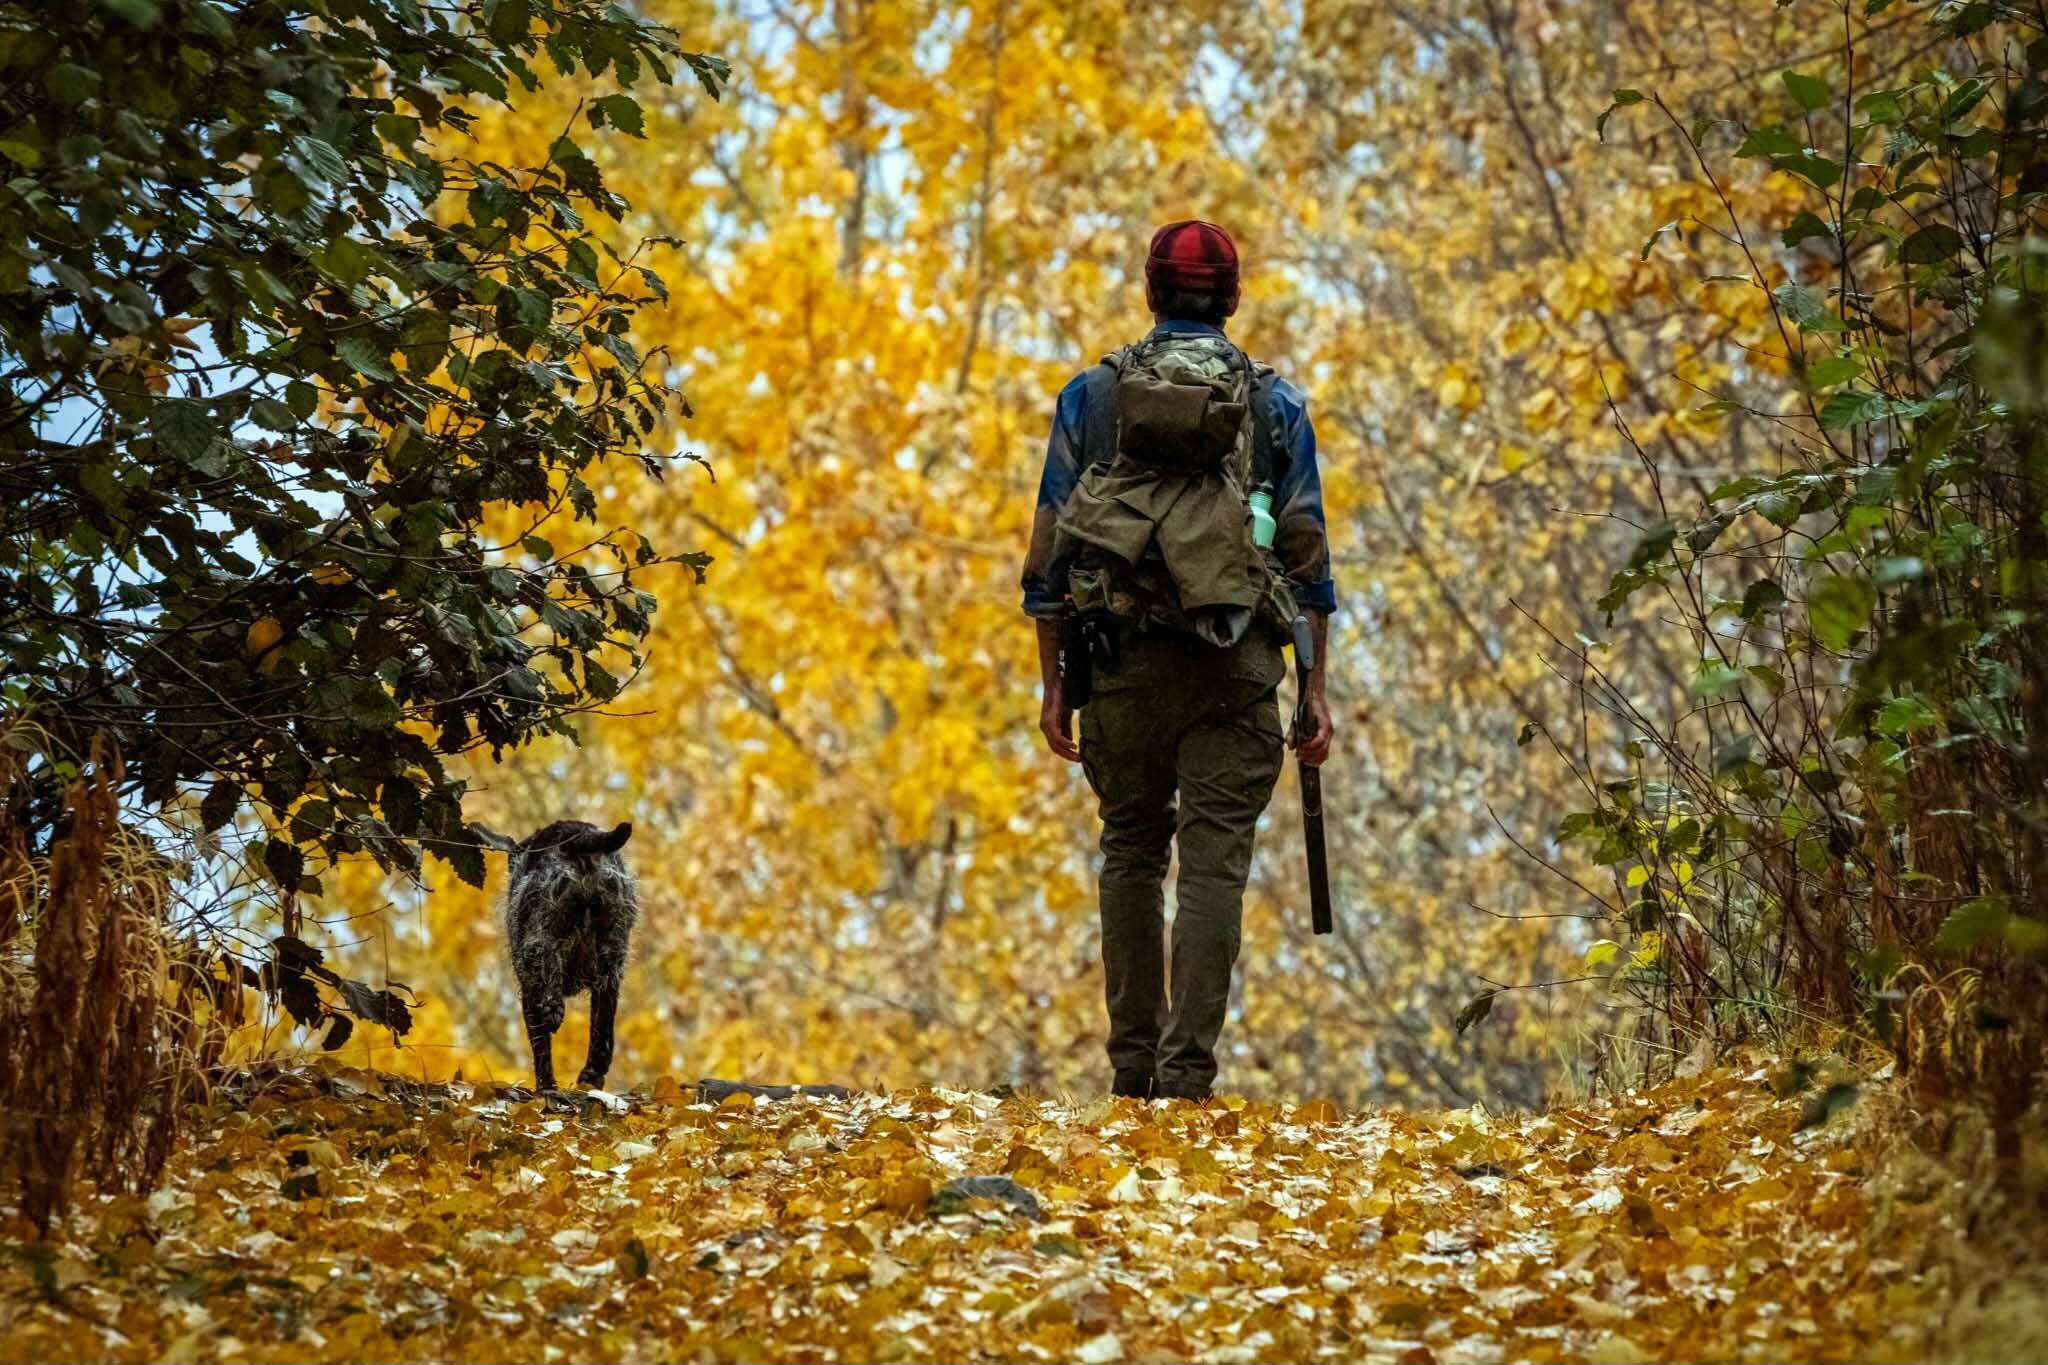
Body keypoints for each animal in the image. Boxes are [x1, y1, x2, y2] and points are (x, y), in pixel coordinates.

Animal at [499, 822, 634, 1088]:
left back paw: (553, 1013)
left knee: (548, 978)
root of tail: (579, 836)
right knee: (603, 1029)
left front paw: (545, 1086)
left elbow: (540, 1045)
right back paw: (592, 1074)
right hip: (610, 962)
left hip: (539, 937)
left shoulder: (528, 990)